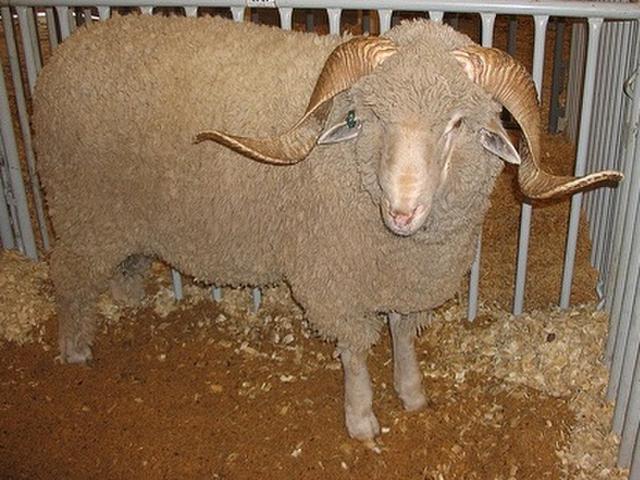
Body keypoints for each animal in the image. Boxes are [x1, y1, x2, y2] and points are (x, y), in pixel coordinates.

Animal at [33, 14, 621, 441]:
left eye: (457, 123)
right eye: (372, 116)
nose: (401, 212)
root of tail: (69, 46)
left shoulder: (404, 280)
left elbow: (402, 334)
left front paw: (412, 393)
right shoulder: (335, 279)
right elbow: (356, 351)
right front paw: (361, 420)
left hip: (124, 215)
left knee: (121, 264)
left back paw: (129, 295)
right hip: (83, 210)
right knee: (69, 274)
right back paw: (74, 347)